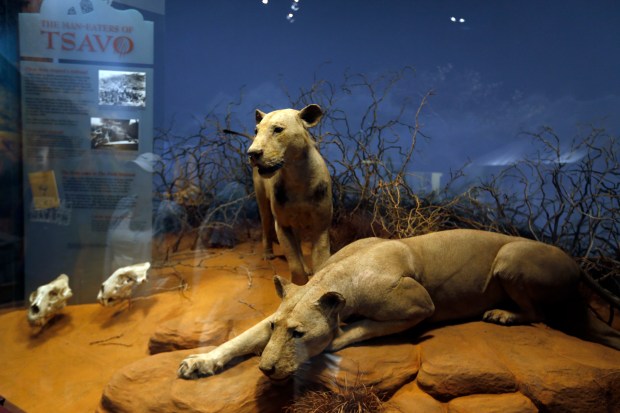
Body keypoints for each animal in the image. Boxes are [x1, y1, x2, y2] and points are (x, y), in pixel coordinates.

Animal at [177, 229, 616, 380]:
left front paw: (335, 337)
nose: (265, 370)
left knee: (539, 316)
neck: (335, 279)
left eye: (299, 334)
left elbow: (359, 328)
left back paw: (502, 314)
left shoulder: (420, 306)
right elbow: (239, 339)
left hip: (510, 258)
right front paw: (199, 363)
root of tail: (576, 261)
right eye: (276, 329)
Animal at [246, 104, 332, 284]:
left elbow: (321, 261)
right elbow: (295, 265)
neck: (296, 177)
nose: (252, 153)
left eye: (278, 130)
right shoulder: (282, 225)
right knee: (266, 226)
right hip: (263, 204)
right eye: (256, 131)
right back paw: (268, 254)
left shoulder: (321, 225)